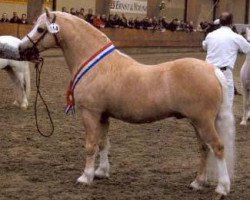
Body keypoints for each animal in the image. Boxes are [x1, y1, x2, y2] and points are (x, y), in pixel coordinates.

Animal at [19, 9, 234, 197]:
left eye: (40, 29)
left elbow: (90, 145)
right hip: (197, 123)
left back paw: (222, 188)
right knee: (204, 149)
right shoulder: (103, 115)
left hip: (203, 122)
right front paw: (101, 172)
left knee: (218, 148)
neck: (98, 66)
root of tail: (212, 70)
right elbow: (103, 144)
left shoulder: (90, 113)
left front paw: (86, 177)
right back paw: (197, 183)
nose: (21, 49)